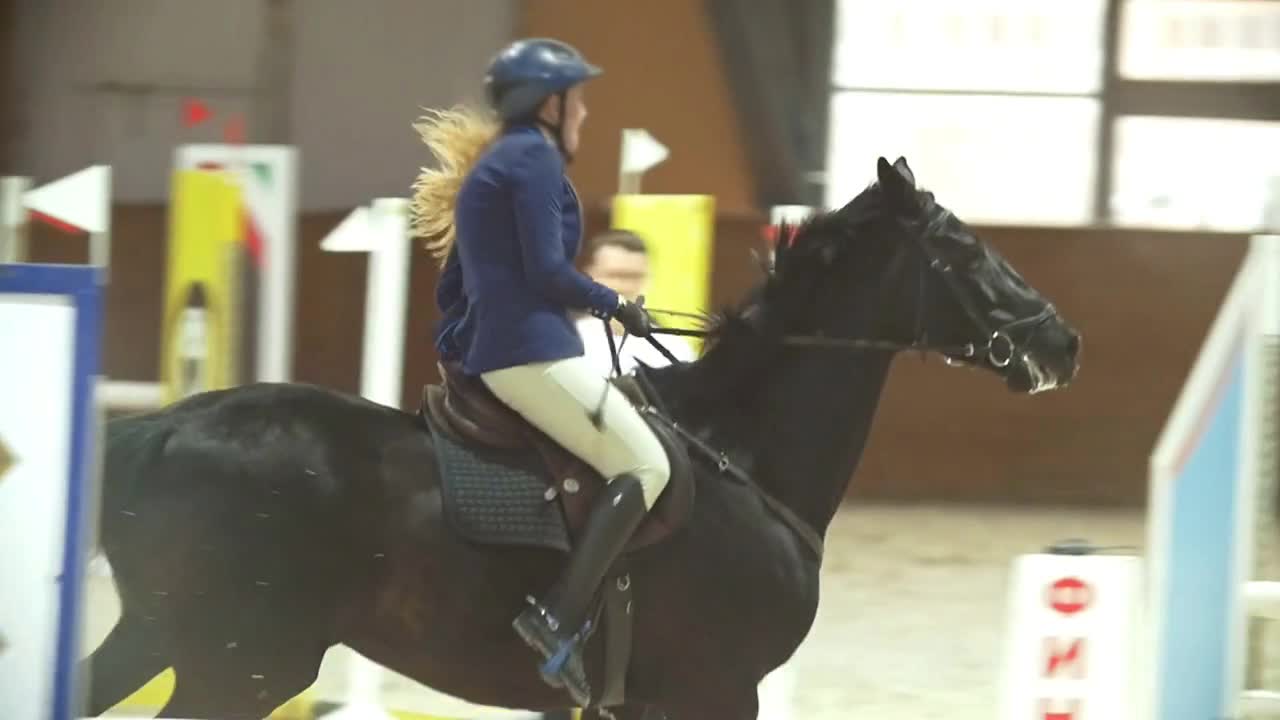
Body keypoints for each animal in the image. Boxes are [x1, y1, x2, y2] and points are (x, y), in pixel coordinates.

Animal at [80, 158, 1080, 717]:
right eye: (960, 250)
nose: (1061, 342)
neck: (743, 456)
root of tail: (164, 430)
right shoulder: (719, 692)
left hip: (170, 639)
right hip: (240, 666)